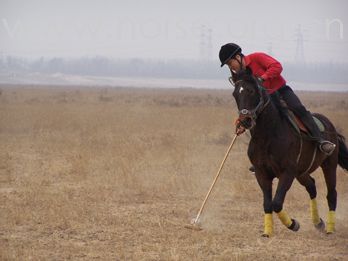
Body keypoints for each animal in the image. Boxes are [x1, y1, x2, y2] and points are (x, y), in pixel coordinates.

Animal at [231, 68, 348, 236]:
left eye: (251, 91)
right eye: (235, 94)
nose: (244, 120)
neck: (268, 136)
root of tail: (329, 124)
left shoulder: (287, 173)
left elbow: (277, 203)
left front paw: (293, 224)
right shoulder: (262, 173)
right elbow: (267, 204)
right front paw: (267, 232)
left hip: (329, 165)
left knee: (331, 194)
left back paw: (330, 229)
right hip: (302, 172)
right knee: (311, 186)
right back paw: (318, 222)